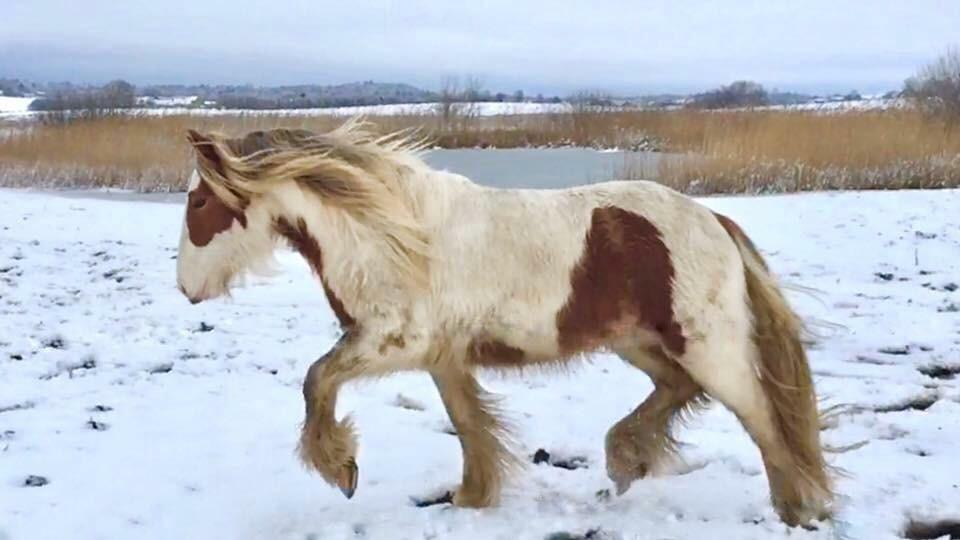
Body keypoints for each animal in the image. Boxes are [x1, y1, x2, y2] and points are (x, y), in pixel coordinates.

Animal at [174, 121, 832, 528]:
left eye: (199, 203)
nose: (186, 289)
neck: (389, 234)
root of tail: (715, 219)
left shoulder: (393, 341)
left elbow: (316, 380)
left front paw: (341, 469)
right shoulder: (442, 356)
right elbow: (468, 424)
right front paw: (472, 496)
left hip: (706, 345)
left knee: (764, 419)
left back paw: (797, 510)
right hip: (639, 342)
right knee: (680, 390)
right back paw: (625, 460)